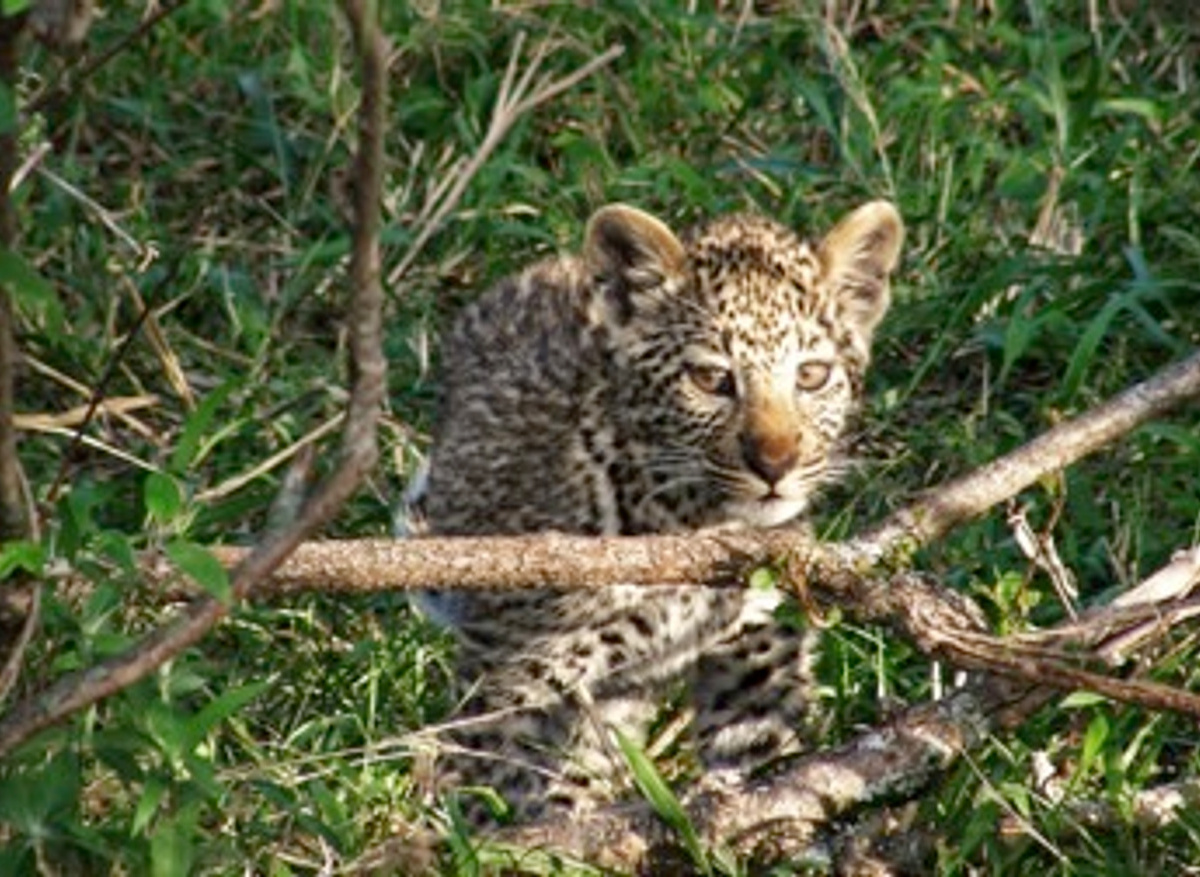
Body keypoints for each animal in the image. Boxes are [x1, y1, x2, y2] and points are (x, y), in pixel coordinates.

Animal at [417, 198, 904, 825]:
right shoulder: (512, 663)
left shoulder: (754, 644)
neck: (691, 519)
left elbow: (759, 758)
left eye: (812, 376)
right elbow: (492, 782)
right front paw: (508, 838)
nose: (776, 463)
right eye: (711, 379)